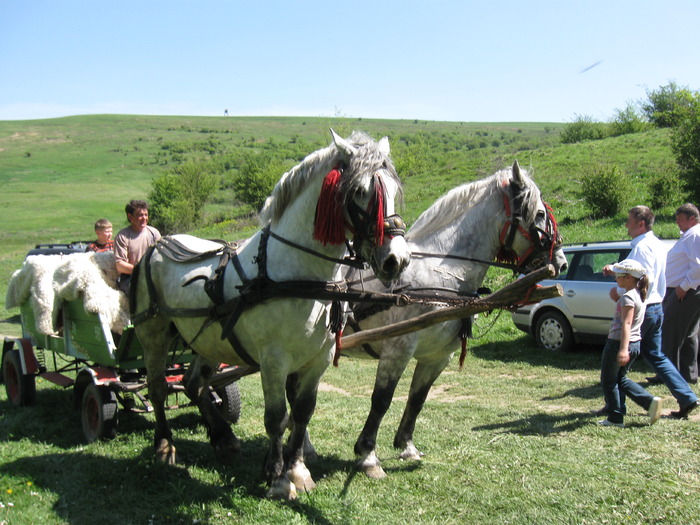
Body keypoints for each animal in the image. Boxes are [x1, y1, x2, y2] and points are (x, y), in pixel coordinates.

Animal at [131, 129, 410, 498]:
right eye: (361, 192)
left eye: (393, 191)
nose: (397, 260)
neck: (298, 274)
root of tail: (157, 245)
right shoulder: (274, 359)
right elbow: (276, 417)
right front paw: (278, 478)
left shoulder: (319, 358)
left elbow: (303, 412)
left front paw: (298, 470)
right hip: (154, 333)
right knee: (158, 388)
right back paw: (165, 445)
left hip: (209, 340)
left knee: (193, 384)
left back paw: (223, 439)